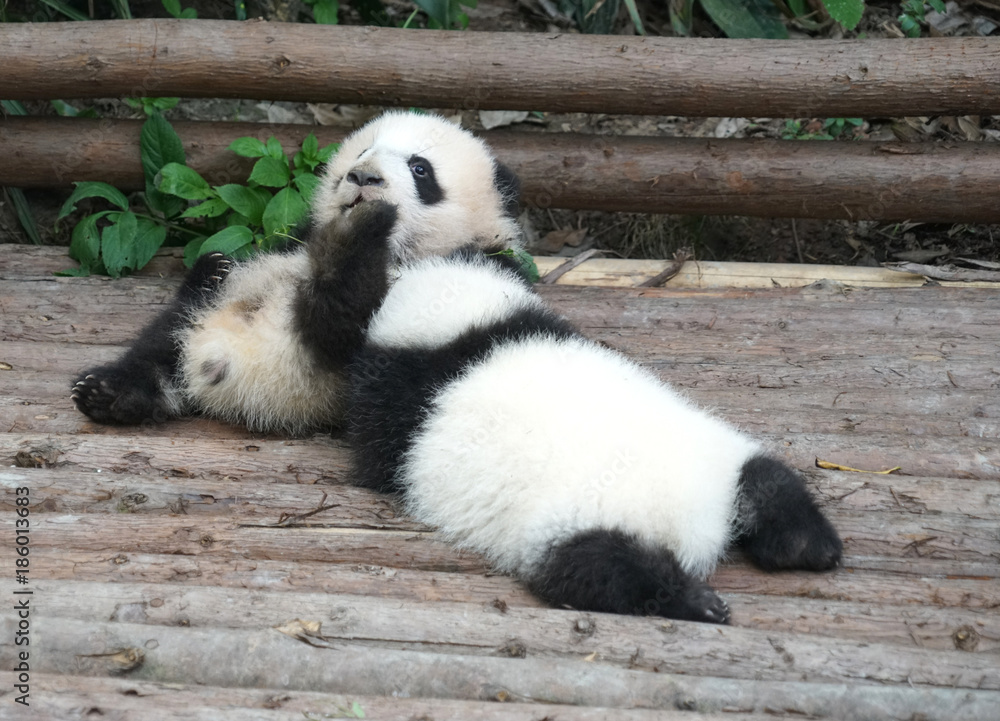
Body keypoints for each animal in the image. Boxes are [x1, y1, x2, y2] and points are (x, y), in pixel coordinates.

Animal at [71, 111, 522, 434]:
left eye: (420, 169)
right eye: (362, 152)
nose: (364, 177)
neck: (401, 251)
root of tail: (207, 376)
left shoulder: (449, 275)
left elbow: (344, 321)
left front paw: (365, 229)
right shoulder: (294, 243)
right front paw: (213, 265)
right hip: (199, 320)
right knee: (163, 338)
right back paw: (110, 391)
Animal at [333, 200, 843, 624]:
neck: (469, 324)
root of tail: (693, 527)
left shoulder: (401, 397)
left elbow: (378, 449)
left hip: (579, 516)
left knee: (597, 572)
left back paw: (695, 599)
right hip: (706, 462)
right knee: (765, 482)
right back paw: (807, 547)